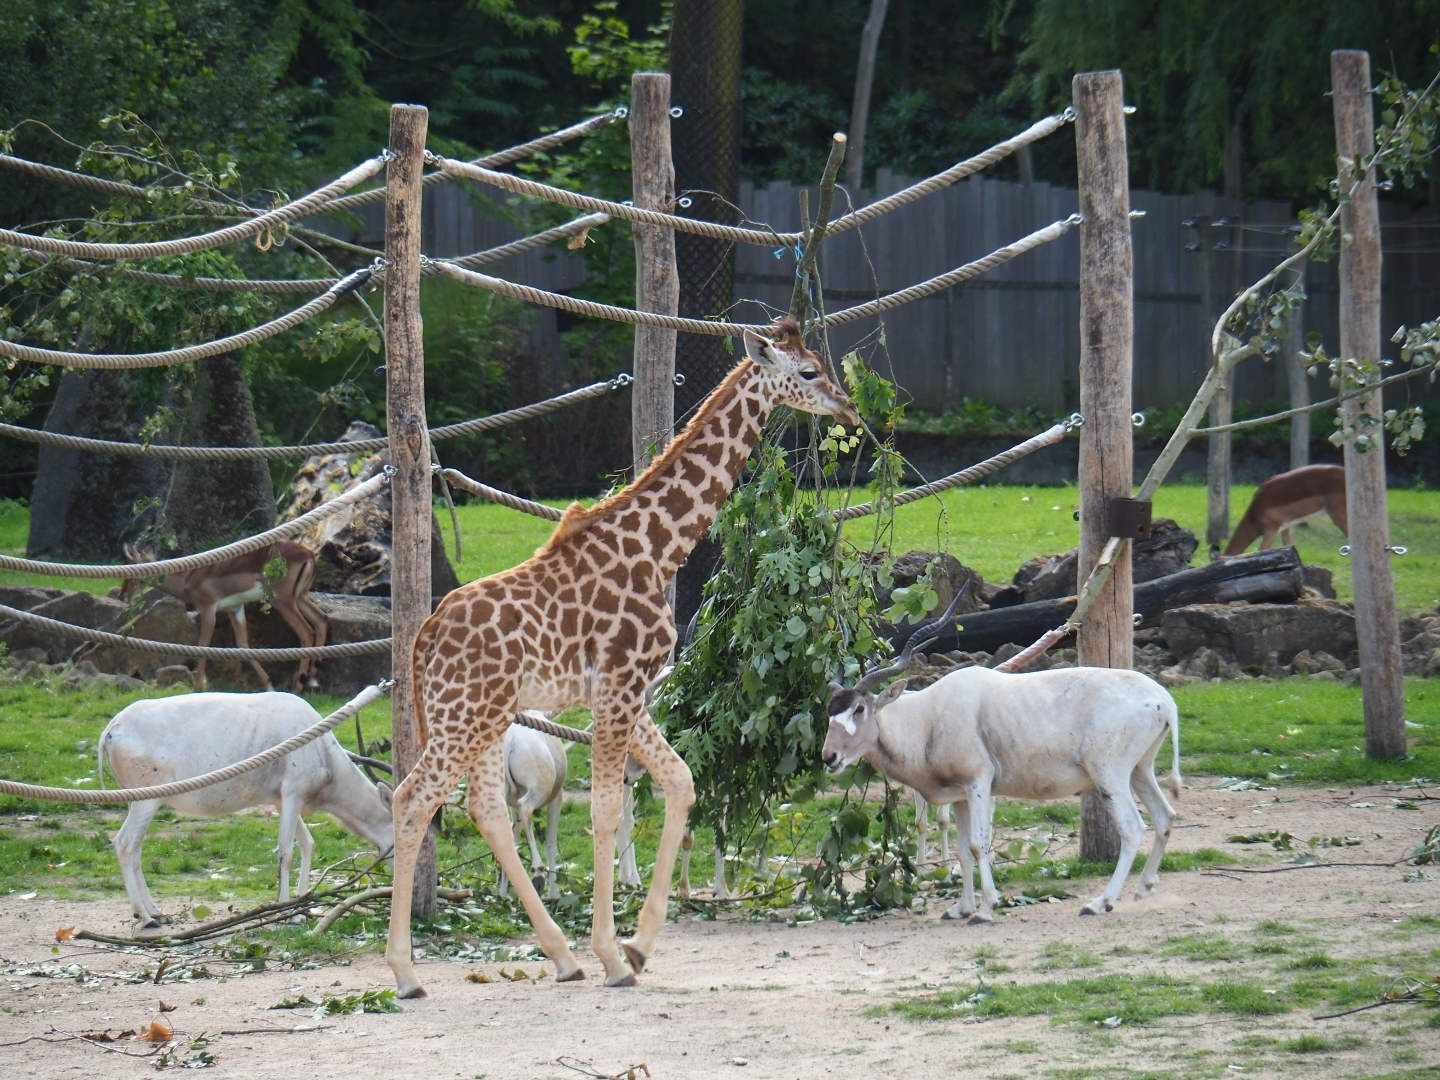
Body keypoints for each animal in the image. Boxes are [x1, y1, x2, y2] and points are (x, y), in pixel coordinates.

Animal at [385, 316, 857, 995]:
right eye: (810, 371)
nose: (845, 404)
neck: (661, 547)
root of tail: (422, 637)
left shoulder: (627, 690)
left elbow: (681, 782)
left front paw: (637, 945)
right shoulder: (619, 683)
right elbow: (608, 809)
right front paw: (614, 953)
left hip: (488, 716)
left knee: (485, 808)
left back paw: (560, 957)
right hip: (462, 716)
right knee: (412, 800)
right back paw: (405, 972)